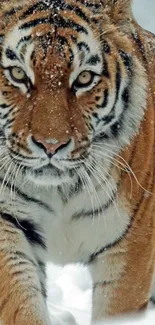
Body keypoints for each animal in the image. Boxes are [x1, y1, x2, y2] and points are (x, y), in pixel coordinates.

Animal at [0, 0, 155, 322]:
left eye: (84, 78)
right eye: (18, 74)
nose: (51, 145)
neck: (60, 191)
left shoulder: (131, 246)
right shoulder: (7, 221)